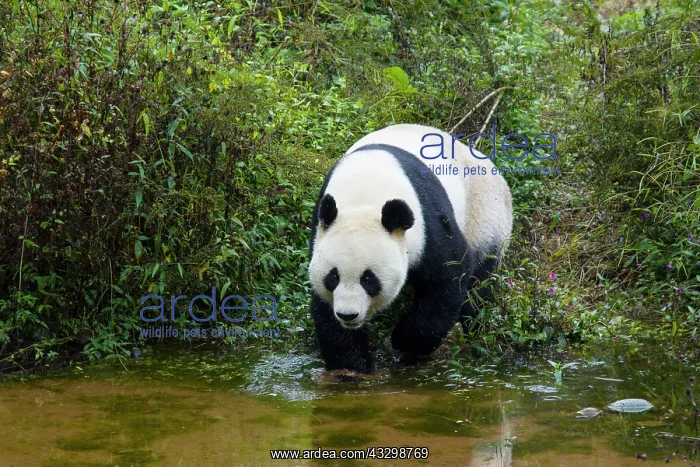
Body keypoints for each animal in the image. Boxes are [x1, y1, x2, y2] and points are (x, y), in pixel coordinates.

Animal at [308, 123, 513, 373]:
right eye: (333, 277)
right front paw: (351, 367)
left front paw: (403, 342)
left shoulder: (429, 223)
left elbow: (448, 277)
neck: (364, 195)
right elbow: (324, 307)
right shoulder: (321, 227)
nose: (348, 314)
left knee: (479, 280)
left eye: (368, 278)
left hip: (485, 216)